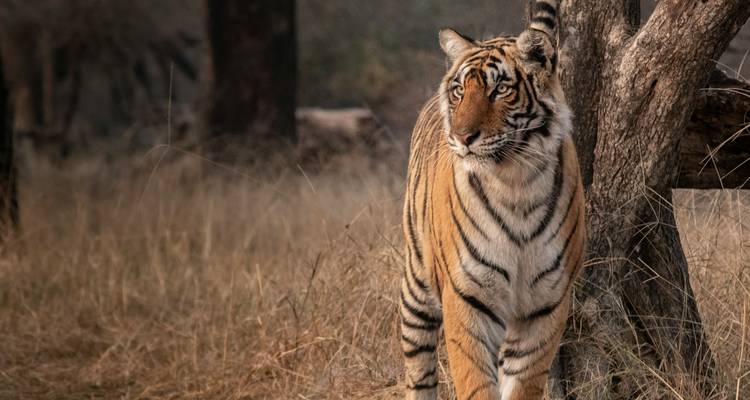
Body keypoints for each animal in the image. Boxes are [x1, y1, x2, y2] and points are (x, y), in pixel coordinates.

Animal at [399, 1, 585, 399]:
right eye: (459, 90)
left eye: (500, 88)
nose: (461, 136)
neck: (516, 182)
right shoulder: (466, 297)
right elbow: (475, 382)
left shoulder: (545, 305)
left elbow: (522, 383)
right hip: (416, 287)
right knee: (418, 368)